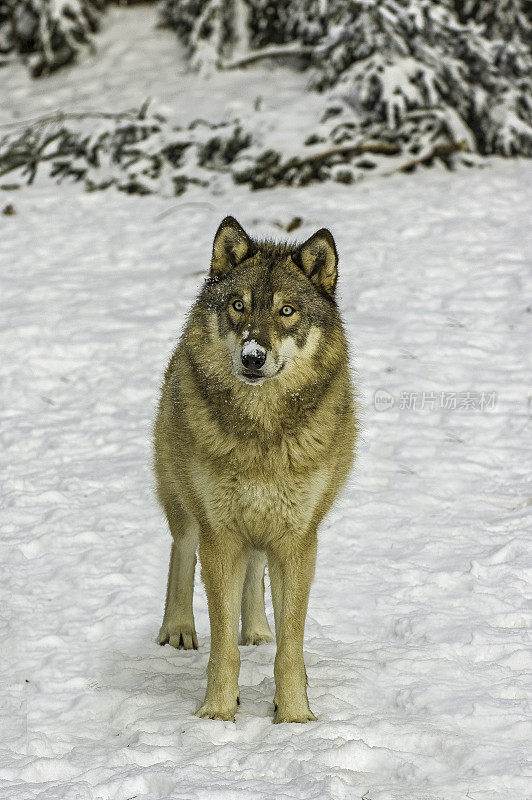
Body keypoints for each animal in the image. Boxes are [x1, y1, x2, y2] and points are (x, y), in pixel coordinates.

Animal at [152, 217, 356, 724]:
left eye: (287, 311)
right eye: (238, 305)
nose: (252, 357)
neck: (263, 432)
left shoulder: (298, 538)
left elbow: (291, 646)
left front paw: (295, 715)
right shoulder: (220, 534)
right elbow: (223, 644)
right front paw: (218, 713)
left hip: (265, 526)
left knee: (256, 569)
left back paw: (260, 630)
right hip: (186, 506)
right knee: (181, 551)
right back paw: (178, 628)